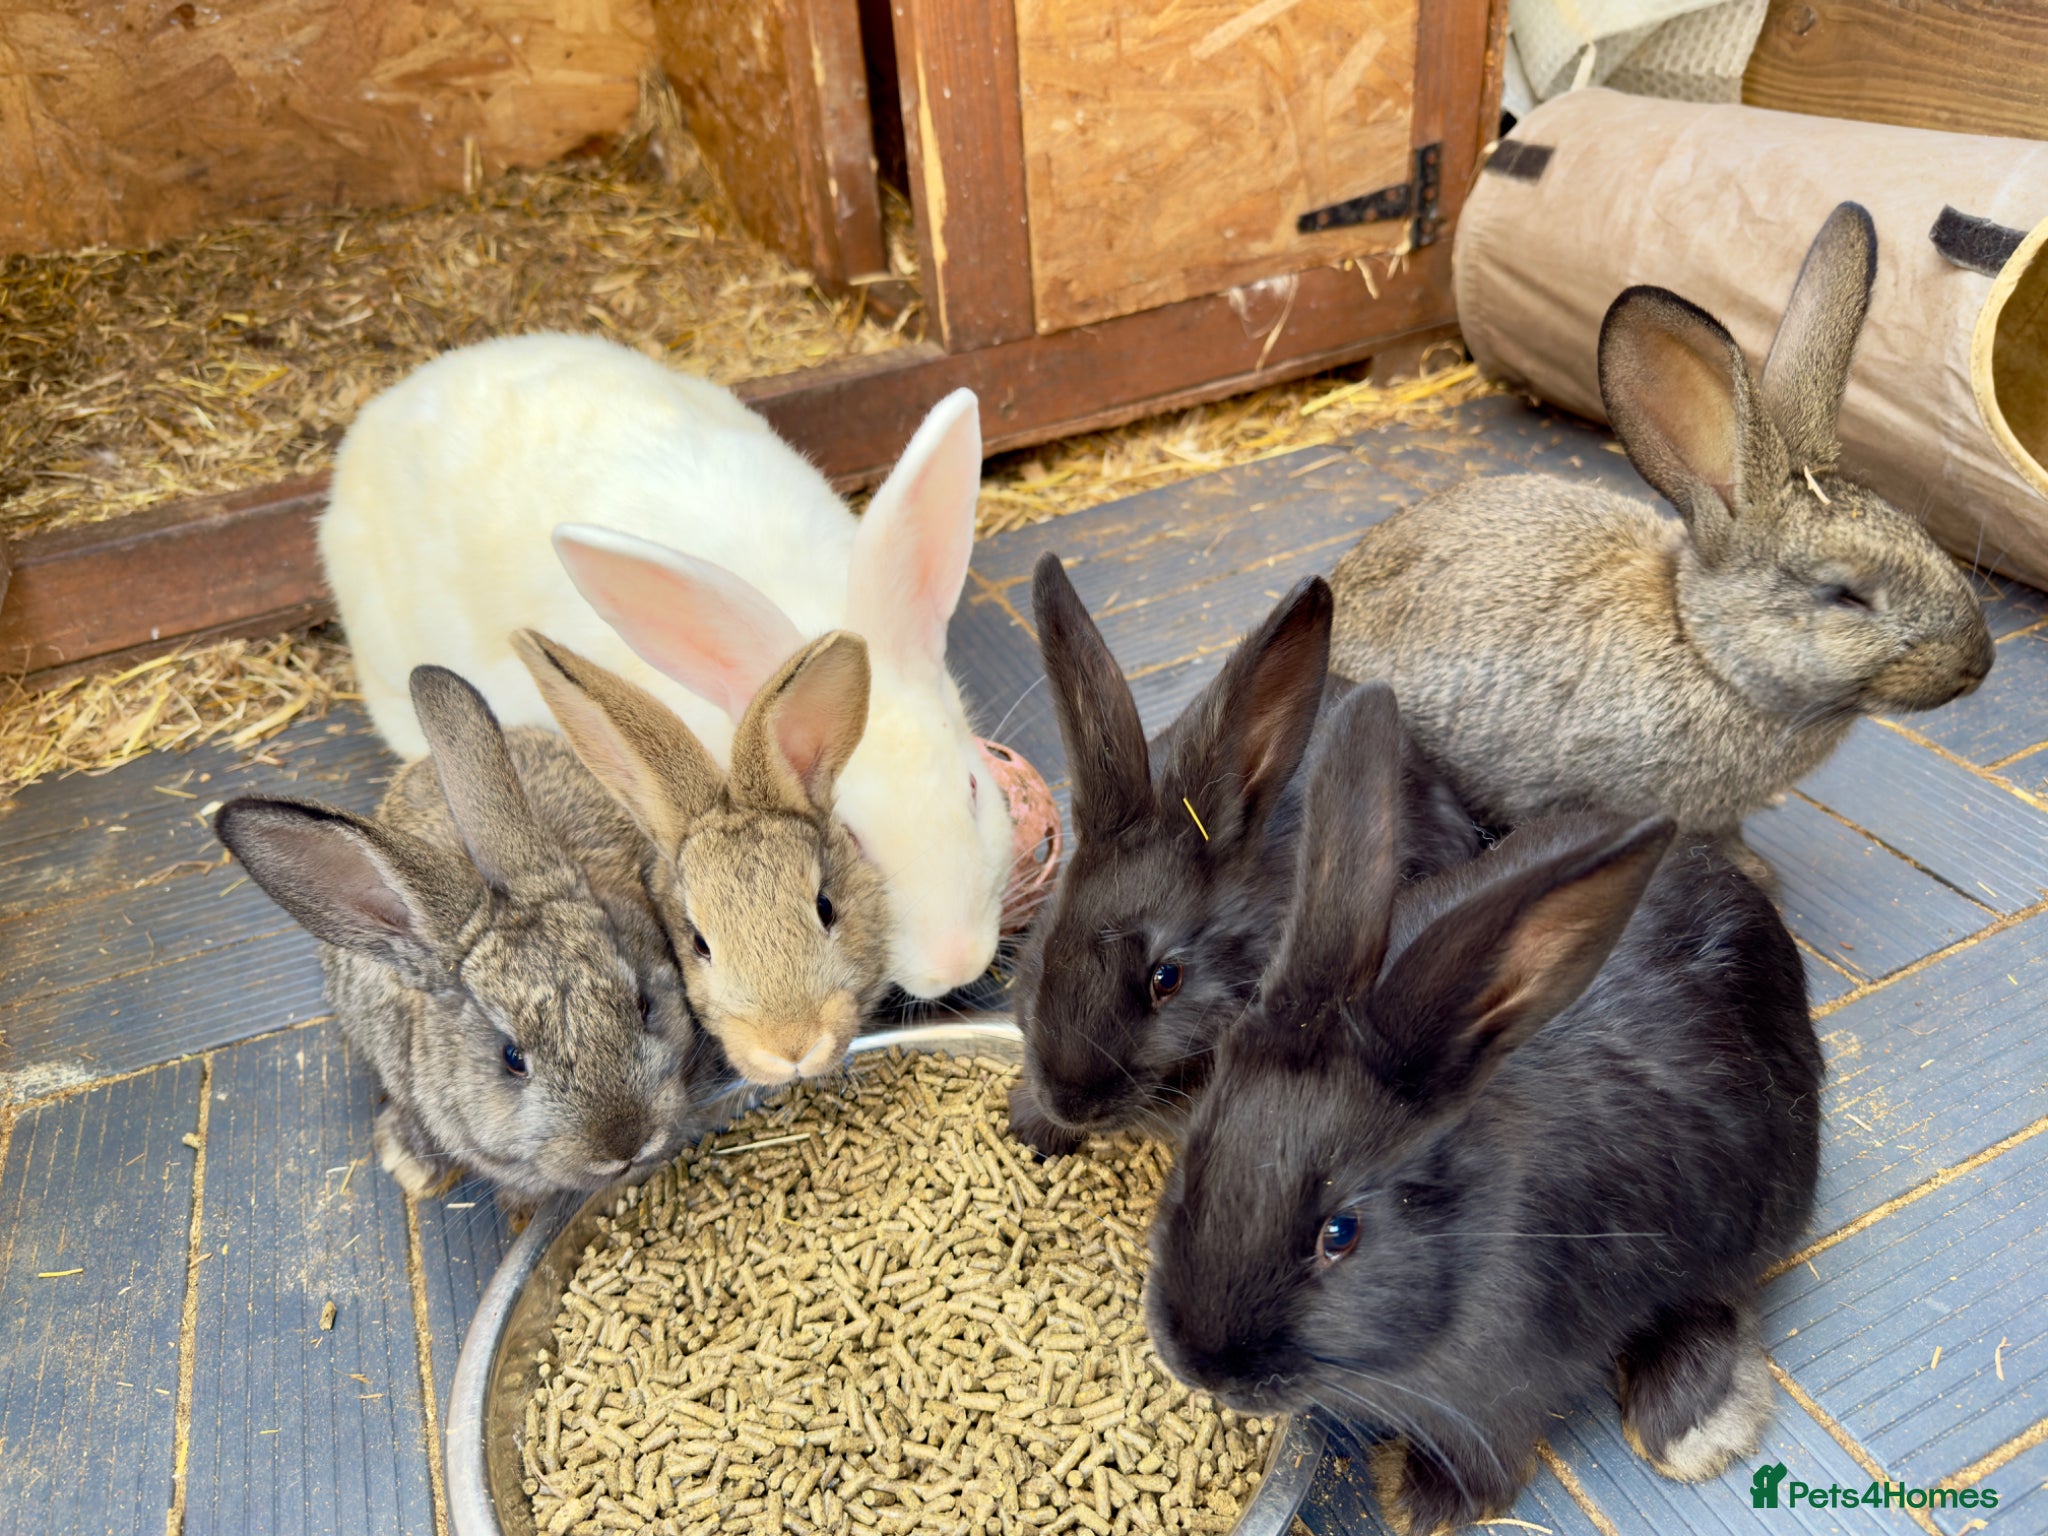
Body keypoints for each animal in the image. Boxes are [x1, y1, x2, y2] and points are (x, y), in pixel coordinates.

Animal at [1144, 681, 1823, 1536]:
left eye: (1341, 1234)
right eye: (1192, 1164)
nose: (1200, 1364)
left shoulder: (1493, 1395)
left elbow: (1490, 1459)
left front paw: (1412, 1498)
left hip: (1755, 1197)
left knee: (1723, 1296)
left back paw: (1687, 1424)